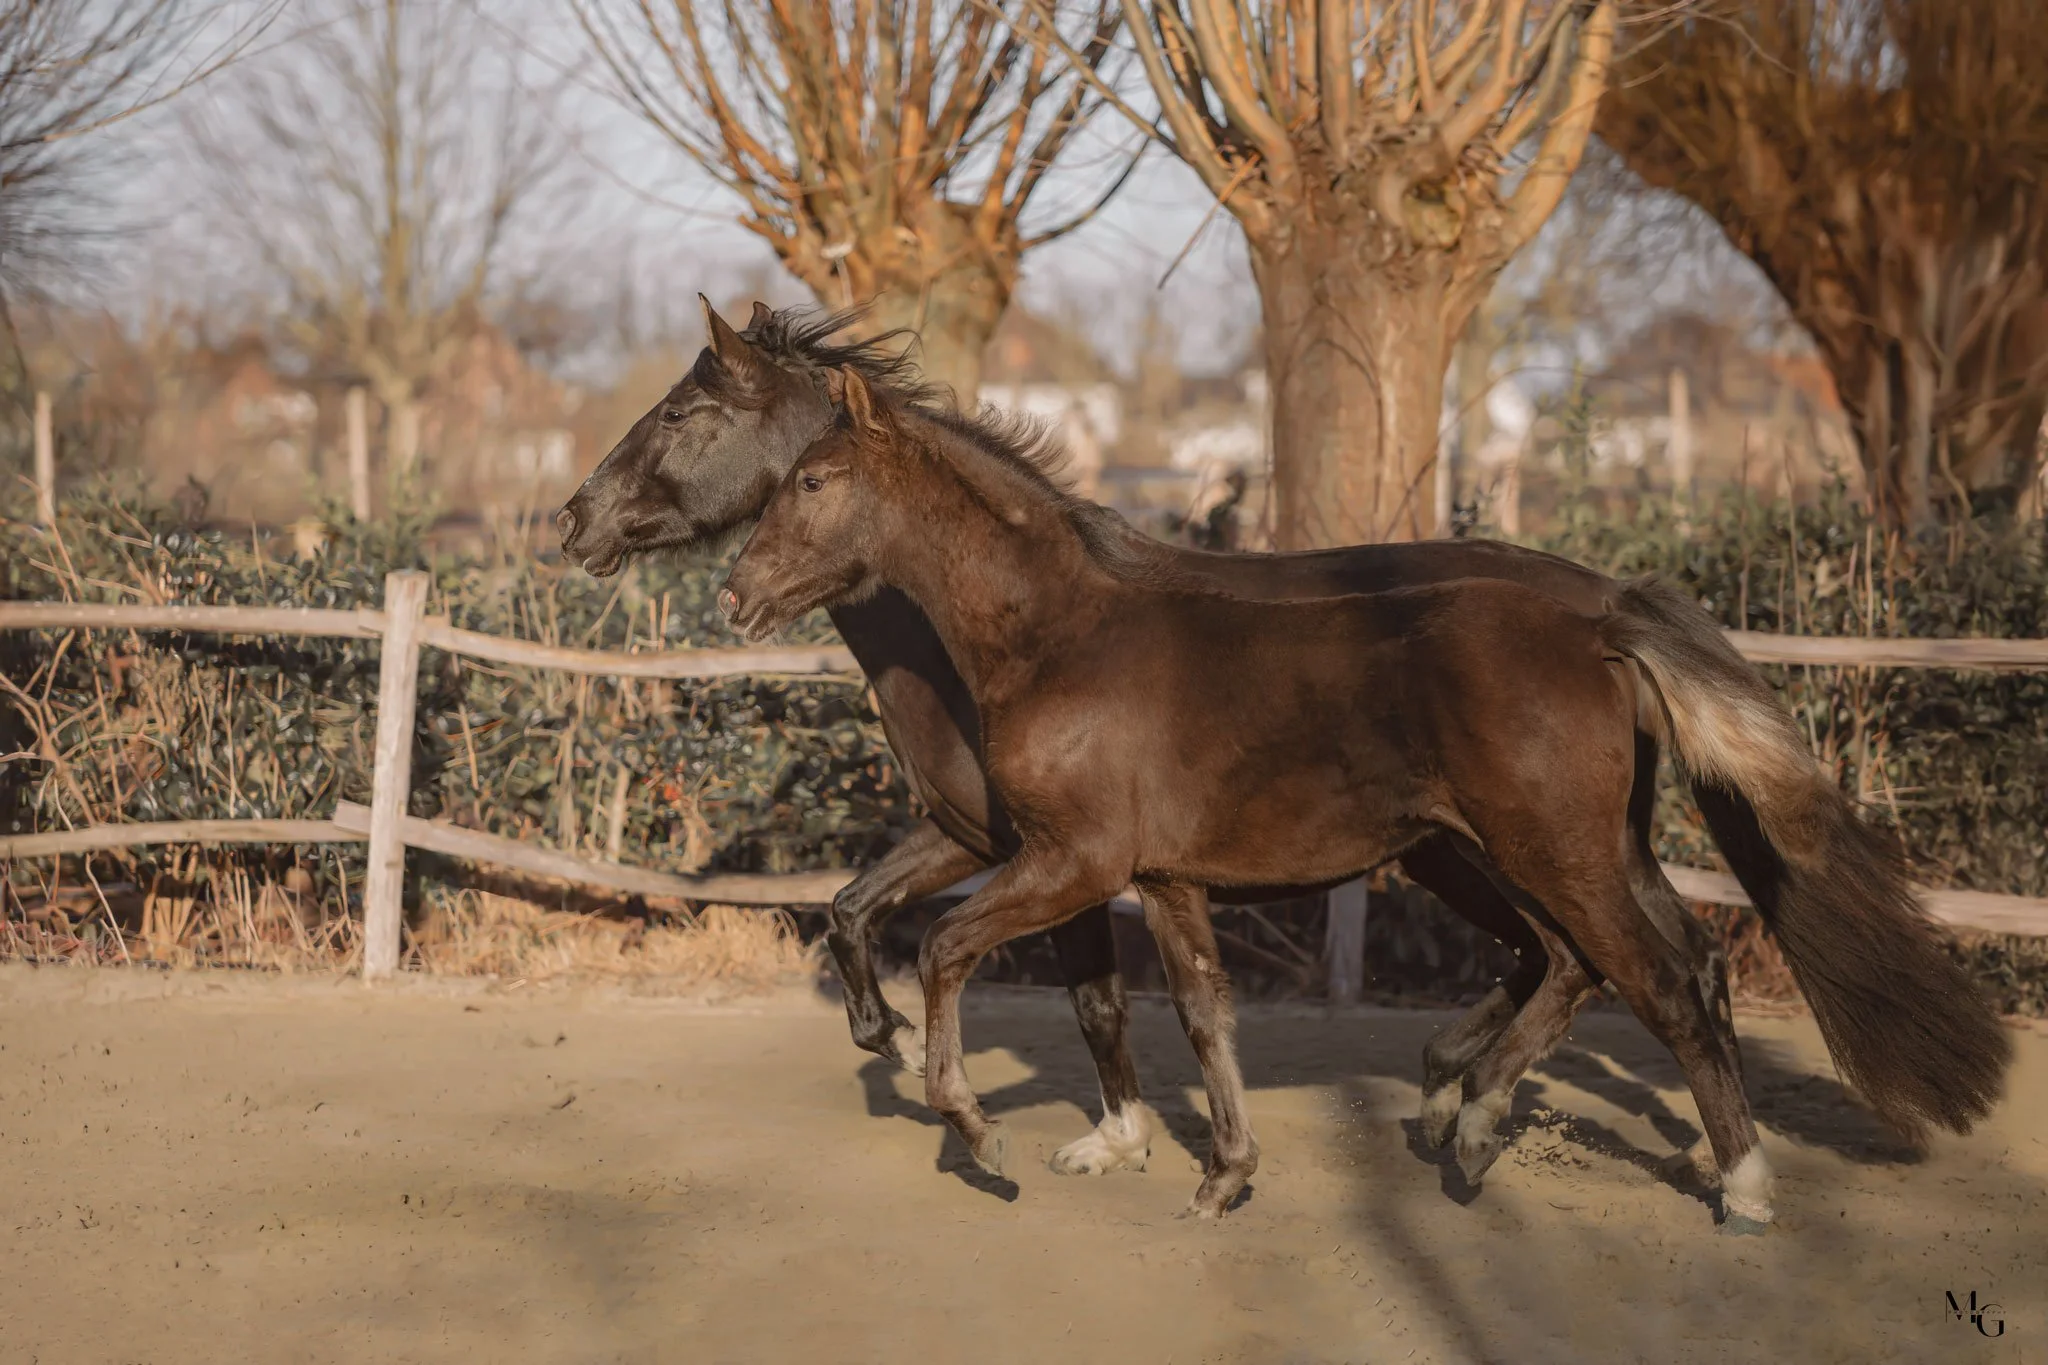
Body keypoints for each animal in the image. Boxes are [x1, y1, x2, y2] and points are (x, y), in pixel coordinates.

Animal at [715, 365, 2008, 1229]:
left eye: (817, 479)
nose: (734, 590)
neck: (1056, 636)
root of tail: (1600, 620)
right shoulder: (1161, 876)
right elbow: (1203, 1015)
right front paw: (1222, 1175)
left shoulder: (1070, 861)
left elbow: (943, 951)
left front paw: (975, 1130)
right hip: (1572, 847)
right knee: (1625, 963)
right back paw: (1478, 1118)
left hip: (1545, 851)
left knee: (1644, 979)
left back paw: (1722, 1181)